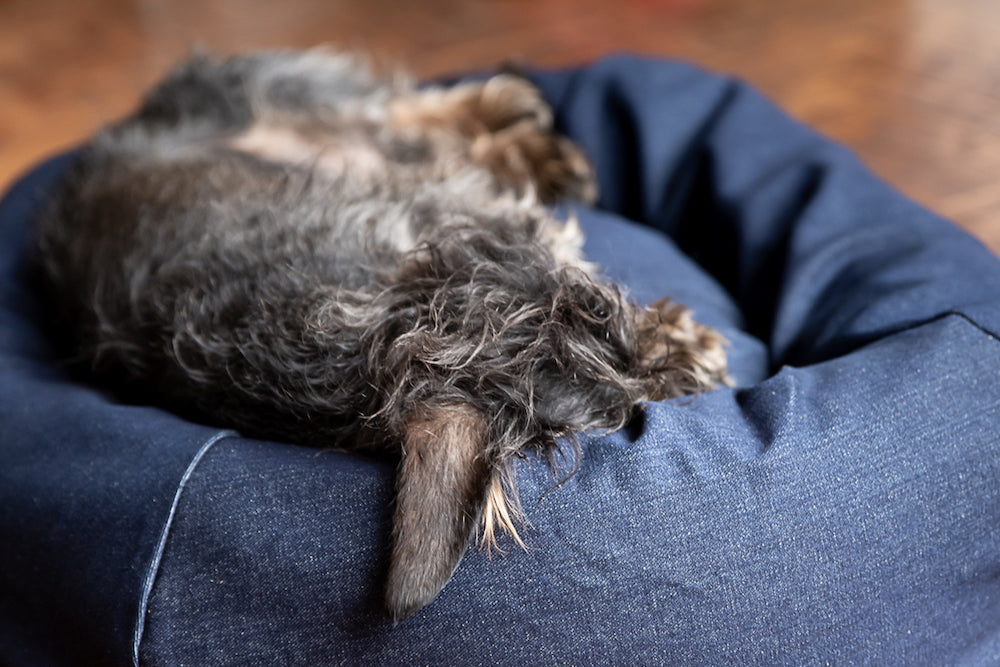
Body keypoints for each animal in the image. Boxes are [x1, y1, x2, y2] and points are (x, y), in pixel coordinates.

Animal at [35, 49, 732, 620]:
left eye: (598, 307)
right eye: (621, 410)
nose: (702, 359)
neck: (375, 323)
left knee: (405, 111)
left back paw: (524, 137)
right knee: (408, 118)